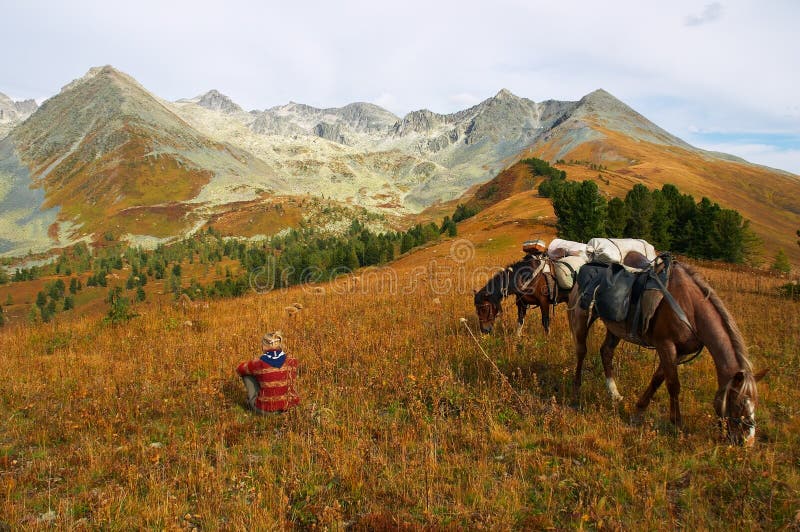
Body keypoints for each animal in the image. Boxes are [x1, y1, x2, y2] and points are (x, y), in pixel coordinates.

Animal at [564, 256, 764, 444]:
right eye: (737, 404)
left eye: (755, 403)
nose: (747, 441)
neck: (689, 309)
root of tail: (585, 269)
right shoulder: (666, 345)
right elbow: (673, 385)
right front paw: (677, 424)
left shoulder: (678, 352)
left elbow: (657, 380)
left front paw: (638, 413)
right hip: (582, 319)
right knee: (581, 351)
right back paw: (576, 391)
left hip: (615, 329)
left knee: (606, 352)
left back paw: (614, 394)